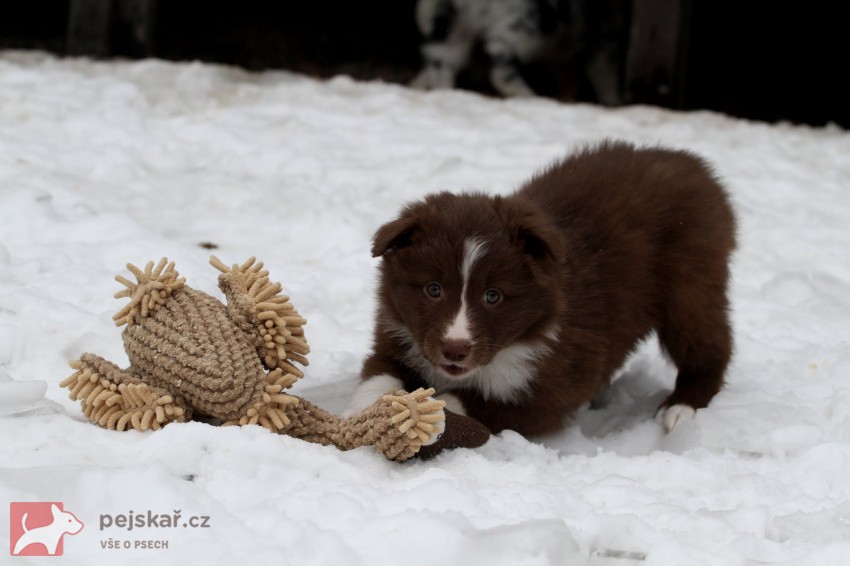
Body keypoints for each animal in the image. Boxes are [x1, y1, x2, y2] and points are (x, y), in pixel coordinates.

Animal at [344, 142, 736, 440]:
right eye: (433, 289)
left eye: (493, 296)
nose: (455, 349)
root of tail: (688, 162)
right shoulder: (397, 336)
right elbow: (380, 374)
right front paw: (368, 414)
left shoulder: (553, 385)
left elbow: (475, 402)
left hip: (691, 281)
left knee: (708, 343)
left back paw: (681, 407)